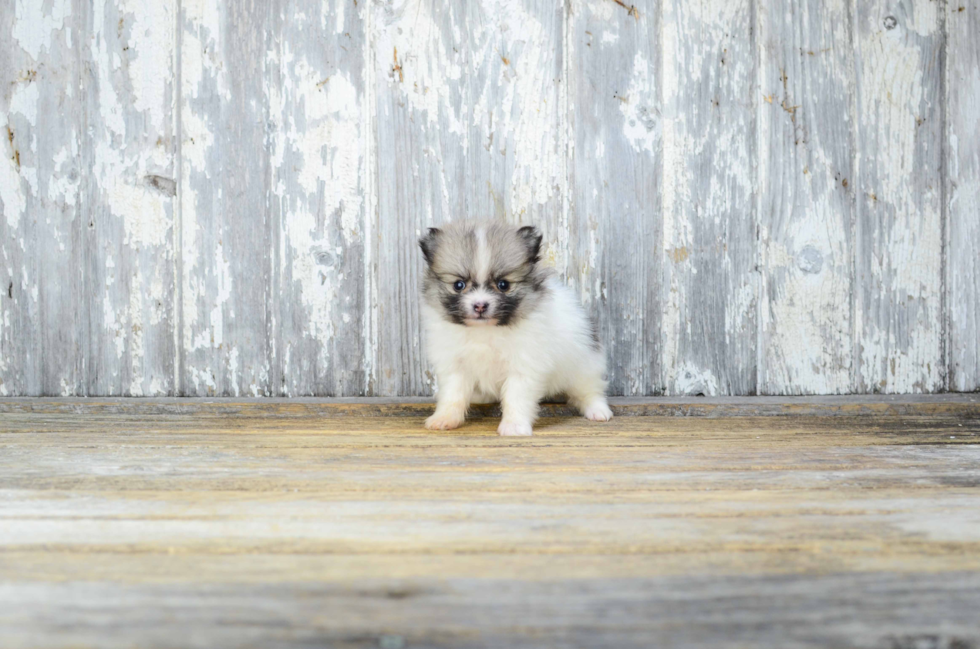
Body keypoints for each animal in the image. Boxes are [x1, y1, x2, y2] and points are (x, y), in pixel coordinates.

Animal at [420, 219, 612, 436]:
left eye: (503, 284)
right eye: (458, 285)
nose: (480, 305)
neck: (485, 330)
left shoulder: (523, 366)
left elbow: (516, 398)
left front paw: (514, 426)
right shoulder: (455, 365)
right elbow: (452, 395)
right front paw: (444, 419)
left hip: (584, 366)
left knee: (590, 391)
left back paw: (598, 411)